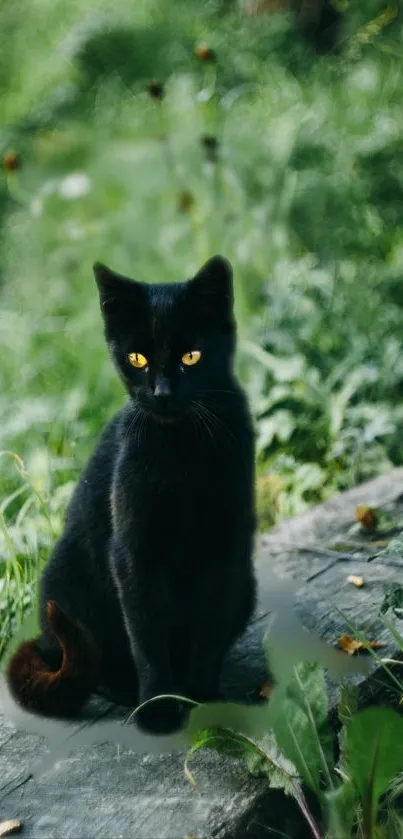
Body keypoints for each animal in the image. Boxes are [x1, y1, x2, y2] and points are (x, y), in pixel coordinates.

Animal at [6, 258, 258, 736]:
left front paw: (204, 702)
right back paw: (125, 689)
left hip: (247, 587)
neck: (182, 452)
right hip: (66, 585)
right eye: (136, 359)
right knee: (92, 662)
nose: (161, 393)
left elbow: (209, 632)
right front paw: (159, 708)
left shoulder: (226, 551)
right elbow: (147, 637)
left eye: (191, 356)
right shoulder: (133, 553)